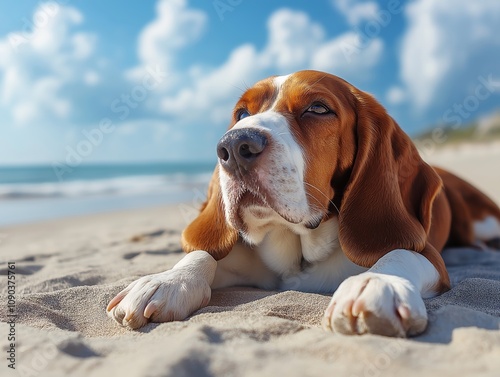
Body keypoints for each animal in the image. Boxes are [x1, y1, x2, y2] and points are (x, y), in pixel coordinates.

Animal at [106, 70, 500, 334]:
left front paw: (376, 285)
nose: (234, 146)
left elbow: (399, 253)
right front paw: (166, 281)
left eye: (318, 109)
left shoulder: (428, 254)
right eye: (241, 114)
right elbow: (204, 253)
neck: (299, 248)